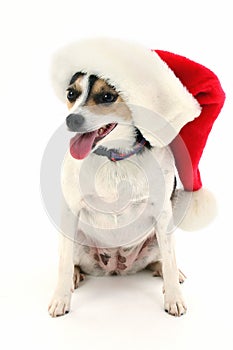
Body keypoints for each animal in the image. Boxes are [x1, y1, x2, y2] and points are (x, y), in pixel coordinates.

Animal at [48, 72, 187, 318]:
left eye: (107, 97)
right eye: (71, 93)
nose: (71, 120)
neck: (114, 157)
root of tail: (116, 267)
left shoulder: (162, 214)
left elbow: (170, 260)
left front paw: (174, 298)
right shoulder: (71, 210)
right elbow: (63, 264)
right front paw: (60, 299)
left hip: (157, 237)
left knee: (161, 260)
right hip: (75, 239)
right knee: (71, 261)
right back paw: (75, 275)